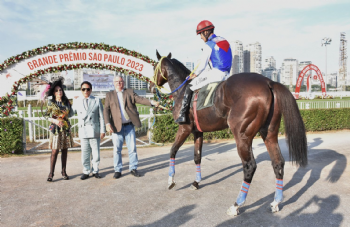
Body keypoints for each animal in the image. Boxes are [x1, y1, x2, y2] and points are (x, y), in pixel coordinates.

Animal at [152, 50, 308, 215]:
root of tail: (268, 82)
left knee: (249, 166)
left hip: (242, 135)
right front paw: (196, 182)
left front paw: (171, 181)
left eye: (154, 67)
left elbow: (172, 150)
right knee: (278, 162)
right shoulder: (197, 132)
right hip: (269, 133)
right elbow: (197, 157)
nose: (151, 86)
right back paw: (276, 202)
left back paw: (236, 204)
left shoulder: (184, 128)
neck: (182, 91)